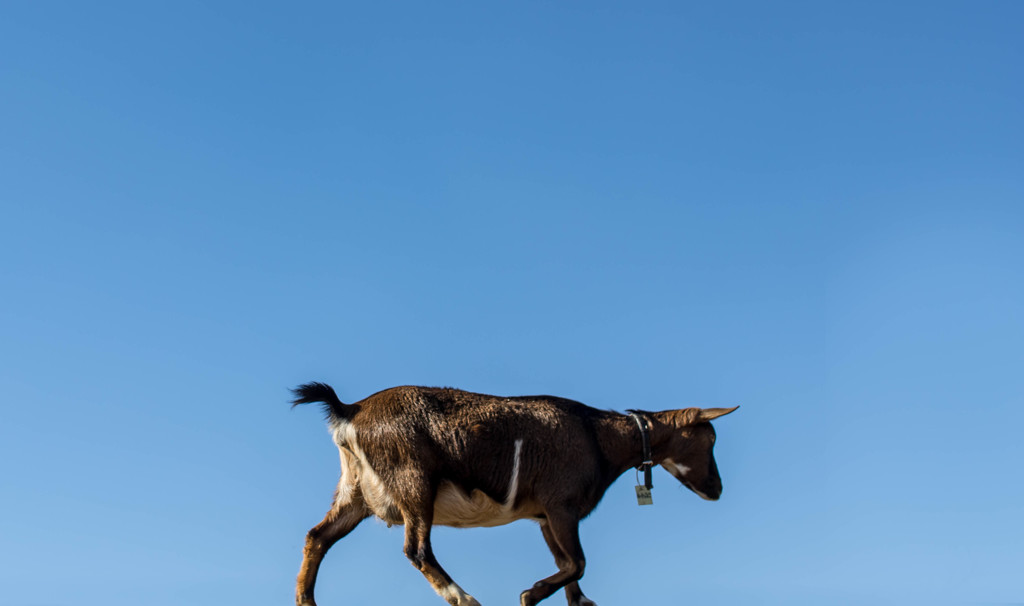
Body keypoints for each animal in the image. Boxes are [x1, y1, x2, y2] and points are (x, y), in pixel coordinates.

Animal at [290, 382, 737, 606]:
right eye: (710, 439)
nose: (716, 488)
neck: (600, 438)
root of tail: (351, 410)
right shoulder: (561, 506)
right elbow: (577, 563)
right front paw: (529, 594)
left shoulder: (544, 518)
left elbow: (569, 569)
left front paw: (577, 601)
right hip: (412, 481)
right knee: (416, 549)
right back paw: (463, 597)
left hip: (355, 492)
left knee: (317, 537)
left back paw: (306, 601)